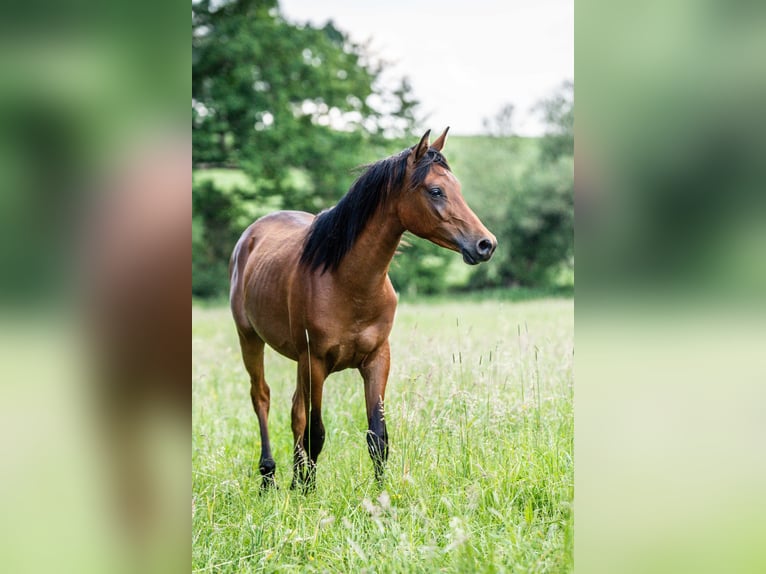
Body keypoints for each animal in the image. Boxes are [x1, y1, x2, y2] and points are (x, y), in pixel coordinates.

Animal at [228, 129, 498, 490]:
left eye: (457, 188)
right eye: (436, 190)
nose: (485, 244)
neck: (348, 282)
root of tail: (250, 235)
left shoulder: (376, 360)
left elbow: (377, 438)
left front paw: (381, 495)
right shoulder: (316, 362)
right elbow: (317, 433)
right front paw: (310, 493)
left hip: (299, 361)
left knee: (295, 410)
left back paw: (294, 479)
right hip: (250, 339)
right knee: (262, 398)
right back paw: (269, 476)